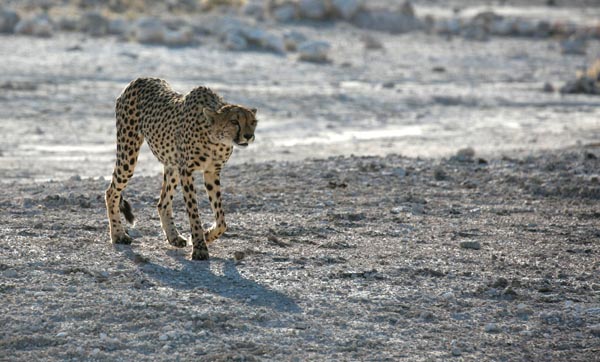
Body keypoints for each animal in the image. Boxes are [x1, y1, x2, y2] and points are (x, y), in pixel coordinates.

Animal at [105, 78, 258, 260]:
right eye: (234, 122)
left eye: (253, 122)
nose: (248, 136)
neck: (215, 139)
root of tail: (140, 79)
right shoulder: (187, 171)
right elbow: (193, 212)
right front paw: (200, 247)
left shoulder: (211, 171)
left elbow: (221, 219)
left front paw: (207, 236)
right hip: (128, 153)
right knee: (111, 191)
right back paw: (118, 234)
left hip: (172, 166)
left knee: (162, 203)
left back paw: (174, 237)